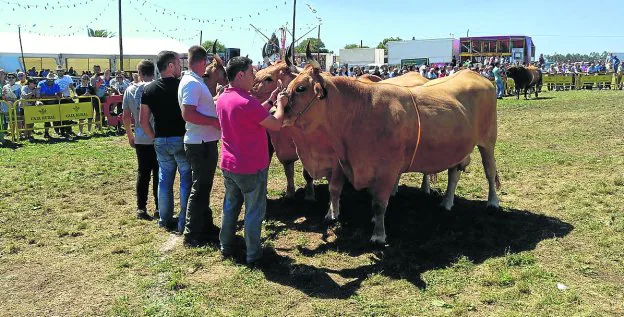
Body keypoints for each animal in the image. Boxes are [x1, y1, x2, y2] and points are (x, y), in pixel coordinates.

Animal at [286, 48, 500, 244]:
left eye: (301, 88)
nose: (278, 108)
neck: (360, 110)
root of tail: (473, 74)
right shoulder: (349, 162)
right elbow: (342, 190)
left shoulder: (387, 168)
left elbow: (379, 203)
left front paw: (378, 235)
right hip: (458, 147)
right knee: (454, 173)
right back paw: (446, 202)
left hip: (488, 140)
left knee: (490, 171)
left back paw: (493, 202)